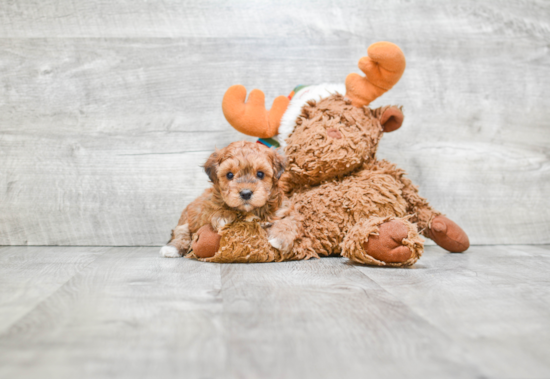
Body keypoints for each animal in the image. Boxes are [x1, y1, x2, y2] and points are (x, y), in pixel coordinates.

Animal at [160, 141, 300, 260]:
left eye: (260, 174)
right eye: (229, 175)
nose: (246, 193)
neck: (249, 211)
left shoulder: (285, 208)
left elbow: (290, 220)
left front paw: (280, 238)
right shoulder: (205, 209)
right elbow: (217, 209)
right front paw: (223, 215)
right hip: (185, 220)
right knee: (181, 234)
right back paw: (171, 249)